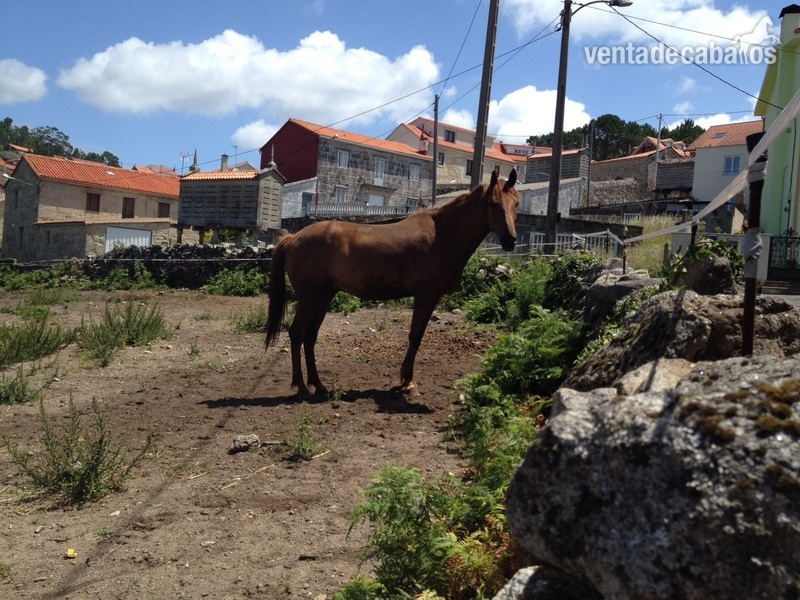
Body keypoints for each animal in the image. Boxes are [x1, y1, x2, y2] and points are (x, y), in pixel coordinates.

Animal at [265, 168, 519, 398]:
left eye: (515, 204)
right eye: (493, 204)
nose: (511, 240)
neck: (443, 234)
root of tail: (293, 238)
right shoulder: (426, 296)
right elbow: (415, 336)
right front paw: (407, 380)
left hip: (323, 297)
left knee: (310, 337)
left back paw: (318, 385)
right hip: (309, 299)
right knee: (297, 333)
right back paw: (300, 385)